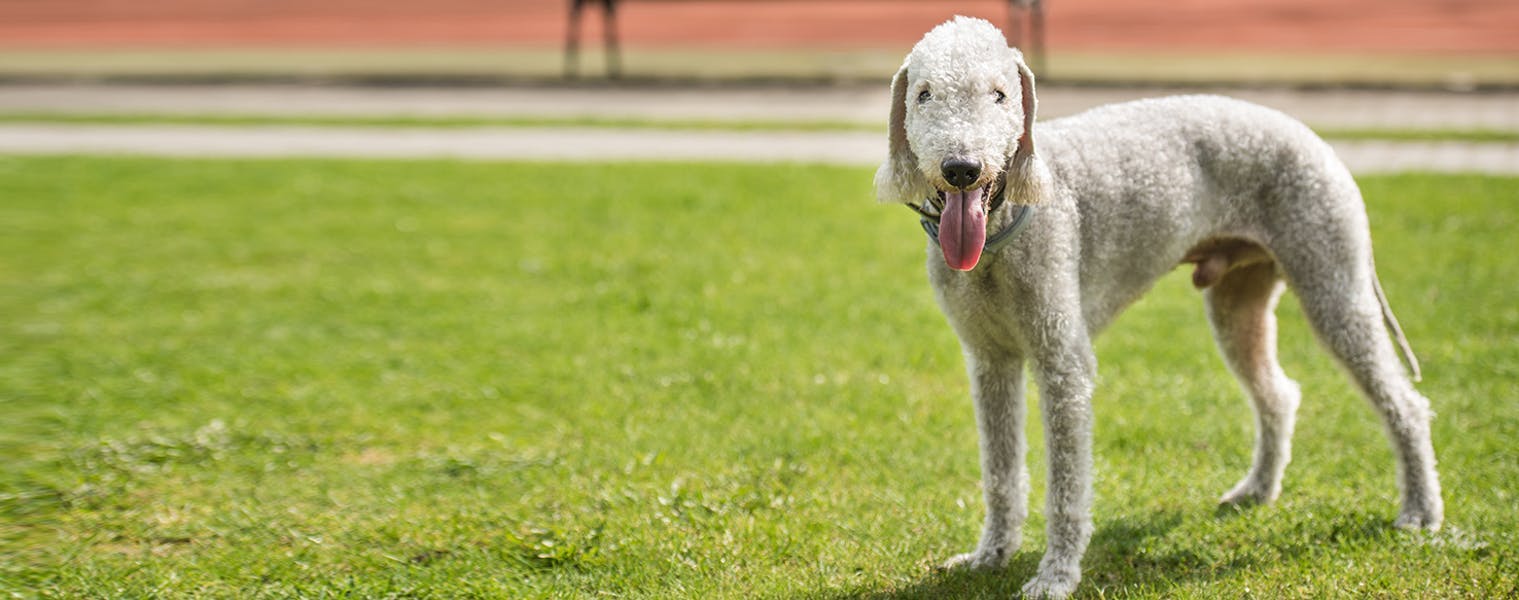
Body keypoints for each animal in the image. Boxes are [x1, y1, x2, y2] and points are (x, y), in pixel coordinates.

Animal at [874, 16, 1440, 598]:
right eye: (923, 94)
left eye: (1000, 95)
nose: (961, 168)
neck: (1001, 227)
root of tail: (1312, 137)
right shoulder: (989, 360)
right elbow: (1001, 472)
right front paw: (990, 555)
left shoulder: (1063, 363)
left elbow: (1068, 485)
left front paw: (1055, 576)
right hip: (1238, 304)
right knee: (1278, 395)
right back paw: (1257, 491)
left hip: (1334, 283)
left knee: (1406, 405)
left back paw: (1420, 512)